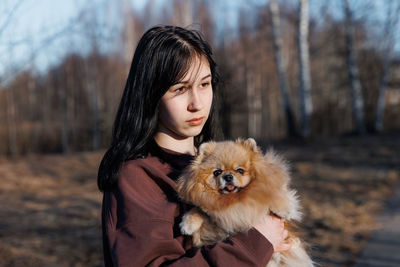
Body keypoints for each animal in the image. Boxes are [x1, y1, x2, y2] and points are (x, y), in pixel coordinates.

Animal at [177, 139, 312, 266]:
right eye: (217, 172)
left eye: (240, 170)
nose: (228, 176)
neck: (235, 199)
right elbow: (197, 209)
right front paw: (187, 224)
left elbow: (275, 195)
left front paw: (285, 209)